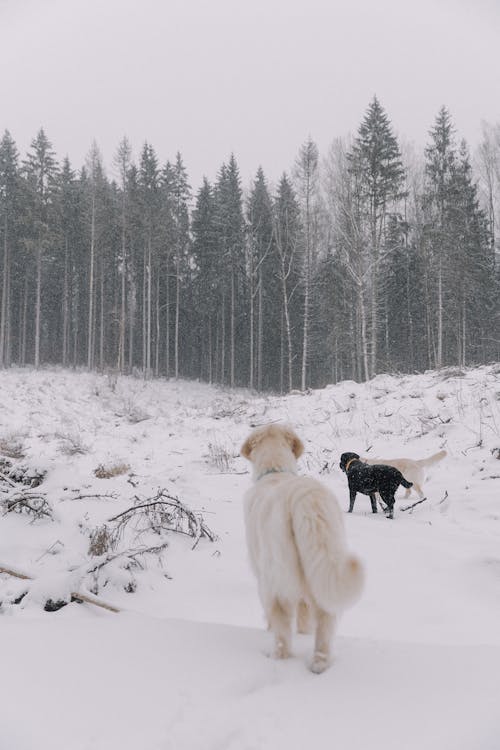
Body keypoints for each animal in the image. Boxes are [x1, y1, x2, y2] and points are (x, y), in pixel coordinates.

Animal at [241, 426, 364, 680]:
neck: (275, 471)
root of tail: (305, 496)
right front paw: (305, 633)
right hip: (321, 565)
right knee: (324, 618)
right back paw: (319, 663)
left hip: (277, 575)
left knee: (282, 629)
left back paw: (278, 657)